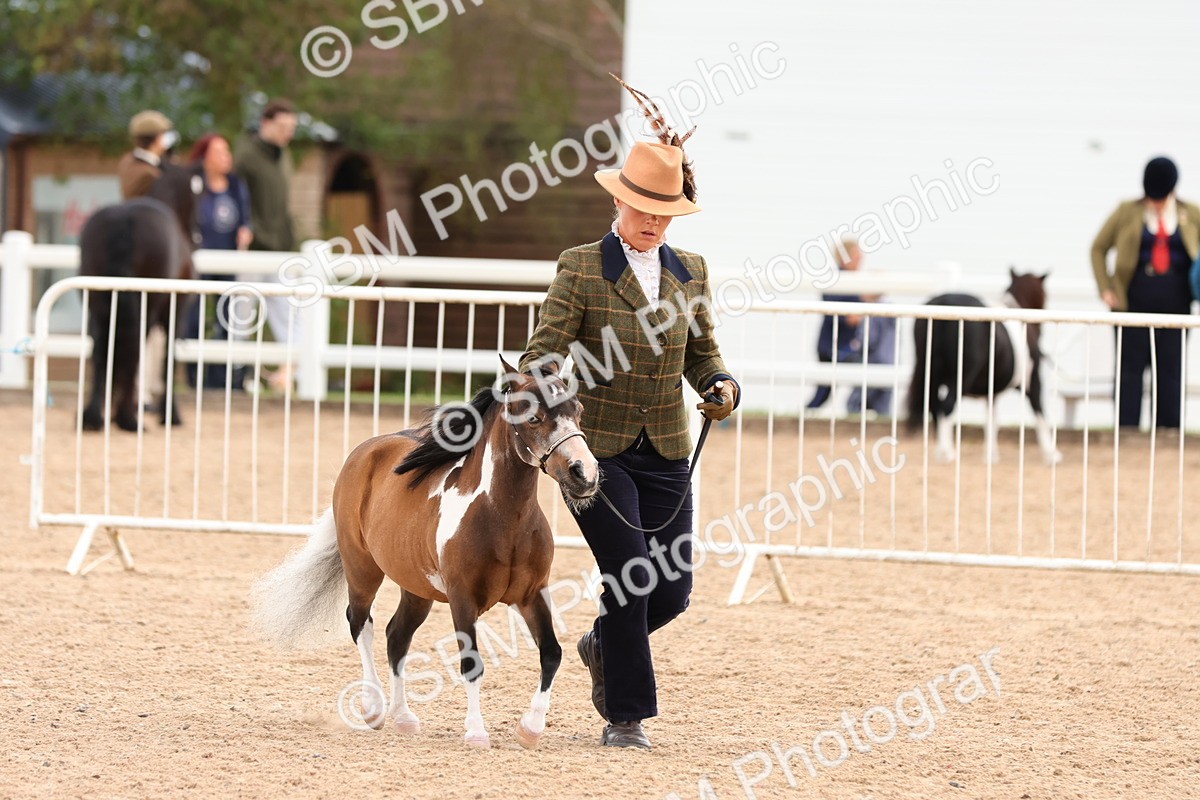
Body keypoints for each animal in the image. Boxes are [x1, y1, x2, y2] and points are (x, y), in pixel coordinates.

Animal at [79, 160, 199, 432]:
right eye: (198, 191)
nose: (197, 235)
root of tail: (125, 220)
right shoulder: (175, 313)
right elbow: (168, 359)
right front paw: (170, 415)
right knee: (134, 351)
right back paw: (127, 417)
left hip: (96, 303)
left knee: (101, 348)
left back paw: (94, 415)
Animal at [251, 357, 600, 750]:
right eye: (534, 417)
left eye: (579, 411)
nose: (585, 474)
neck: (501, 517)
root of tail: (364, 453)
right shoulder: (463, 598)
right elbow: (471, 663)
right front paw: (476, 732)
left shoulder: (532, 594)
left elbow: (551, 653)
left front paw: (530, 729)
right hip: (362, 569)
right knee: (361, 625)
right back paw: (373, 709)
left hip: (416, 589)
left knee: (396, 637)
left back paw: (403, 718)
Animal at [906, 269, 1062, 465]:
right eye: (1044, 294)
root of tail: (944, 301)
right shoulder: (1032, 382)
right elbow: (1040, 414)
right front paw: (1052, 454)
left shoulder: (991, 391)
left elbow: (992, 421)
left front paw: (991, 455)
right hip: (960, 377)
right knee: (947, 407)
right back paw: (948, 452)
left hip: (931, 373)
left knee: (935, 407)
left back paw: (940, 451)